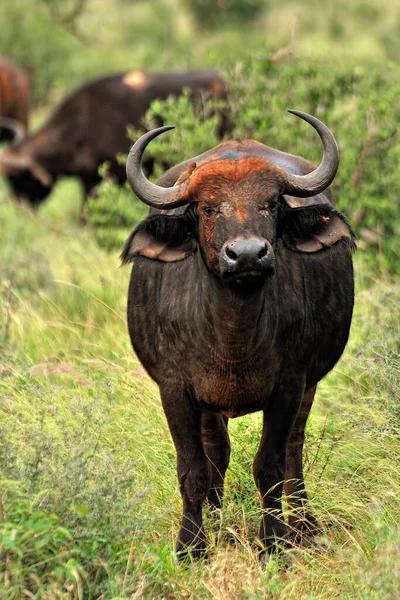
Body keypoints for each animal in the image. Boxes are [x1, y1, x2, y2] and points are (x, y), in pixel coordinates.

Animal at [122, 111, 356, 556]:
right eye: (207, 208)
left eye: (272, 204)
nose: (247, 254)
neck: (234, 338)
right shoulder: (174, 388)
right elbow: (193, 468)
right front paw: (192, 545)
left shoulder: (290, 384)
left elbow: (271, 467)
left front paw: (275, 543)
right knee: (218, 450)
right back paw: (215, 515)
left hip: (309, 385)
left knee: (294, 450)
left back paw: (304, 525)